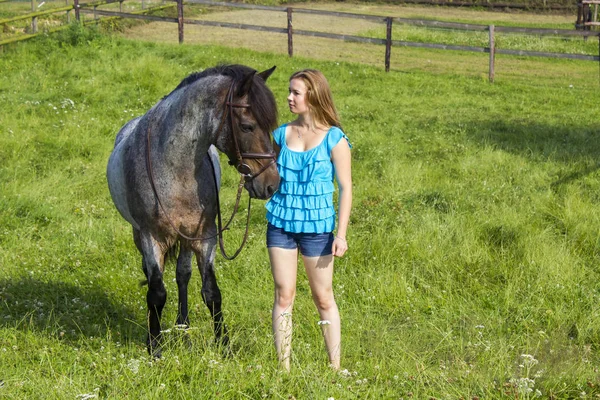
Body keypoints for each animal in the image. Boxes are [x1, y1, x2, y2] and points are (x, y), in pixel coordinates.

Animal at [106, 65, 280, 356]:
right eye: (247, 126)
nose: (271, 184)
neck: (176, 169)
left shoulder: (205, 236)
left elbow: (211, 292)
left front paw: (224, 345)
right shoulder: (151, 237)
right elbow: (156, 293)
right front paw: (155, 348)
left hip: (186, 238)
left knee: (182, 275)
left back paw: (183, 327)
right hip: (139, 234)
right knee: (153, 276)